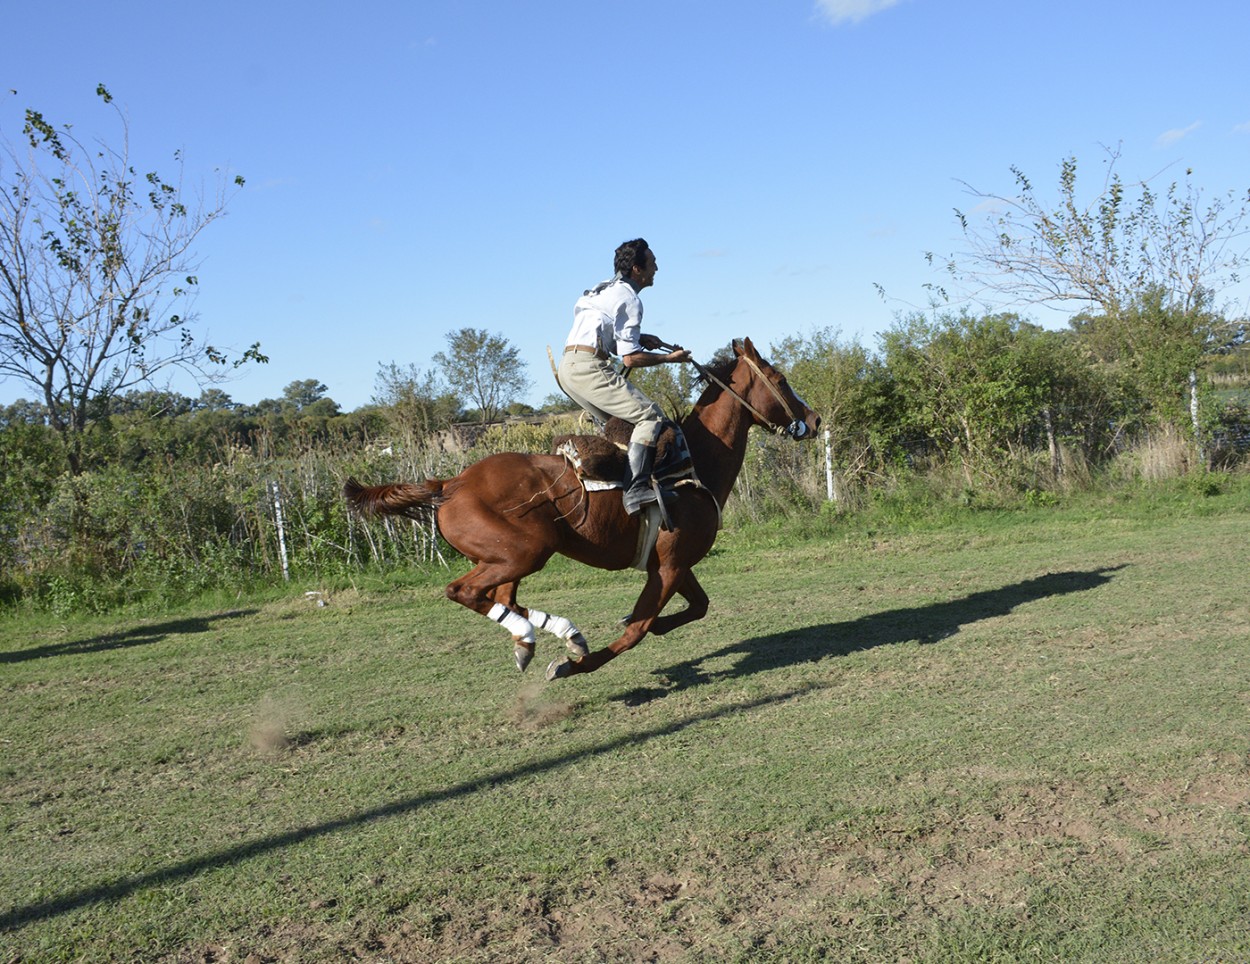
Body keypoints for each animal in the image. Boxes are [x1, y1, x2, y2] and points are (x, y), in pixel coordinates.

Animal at [347, 337, 825, 680]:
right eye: (780, 378)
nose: (815, 420)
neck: (692, 464)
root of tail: (451, 483)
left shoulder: (674, 564)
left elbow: (695, 608)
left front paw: (638, 626)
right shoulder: (669, 567)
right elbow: (637, 630)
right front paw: (577, 664)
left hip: (507, 558)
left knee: (499, 597)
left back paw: (554, 636)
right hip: (525, 551)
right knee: (465, 591)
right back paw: (549, 639)